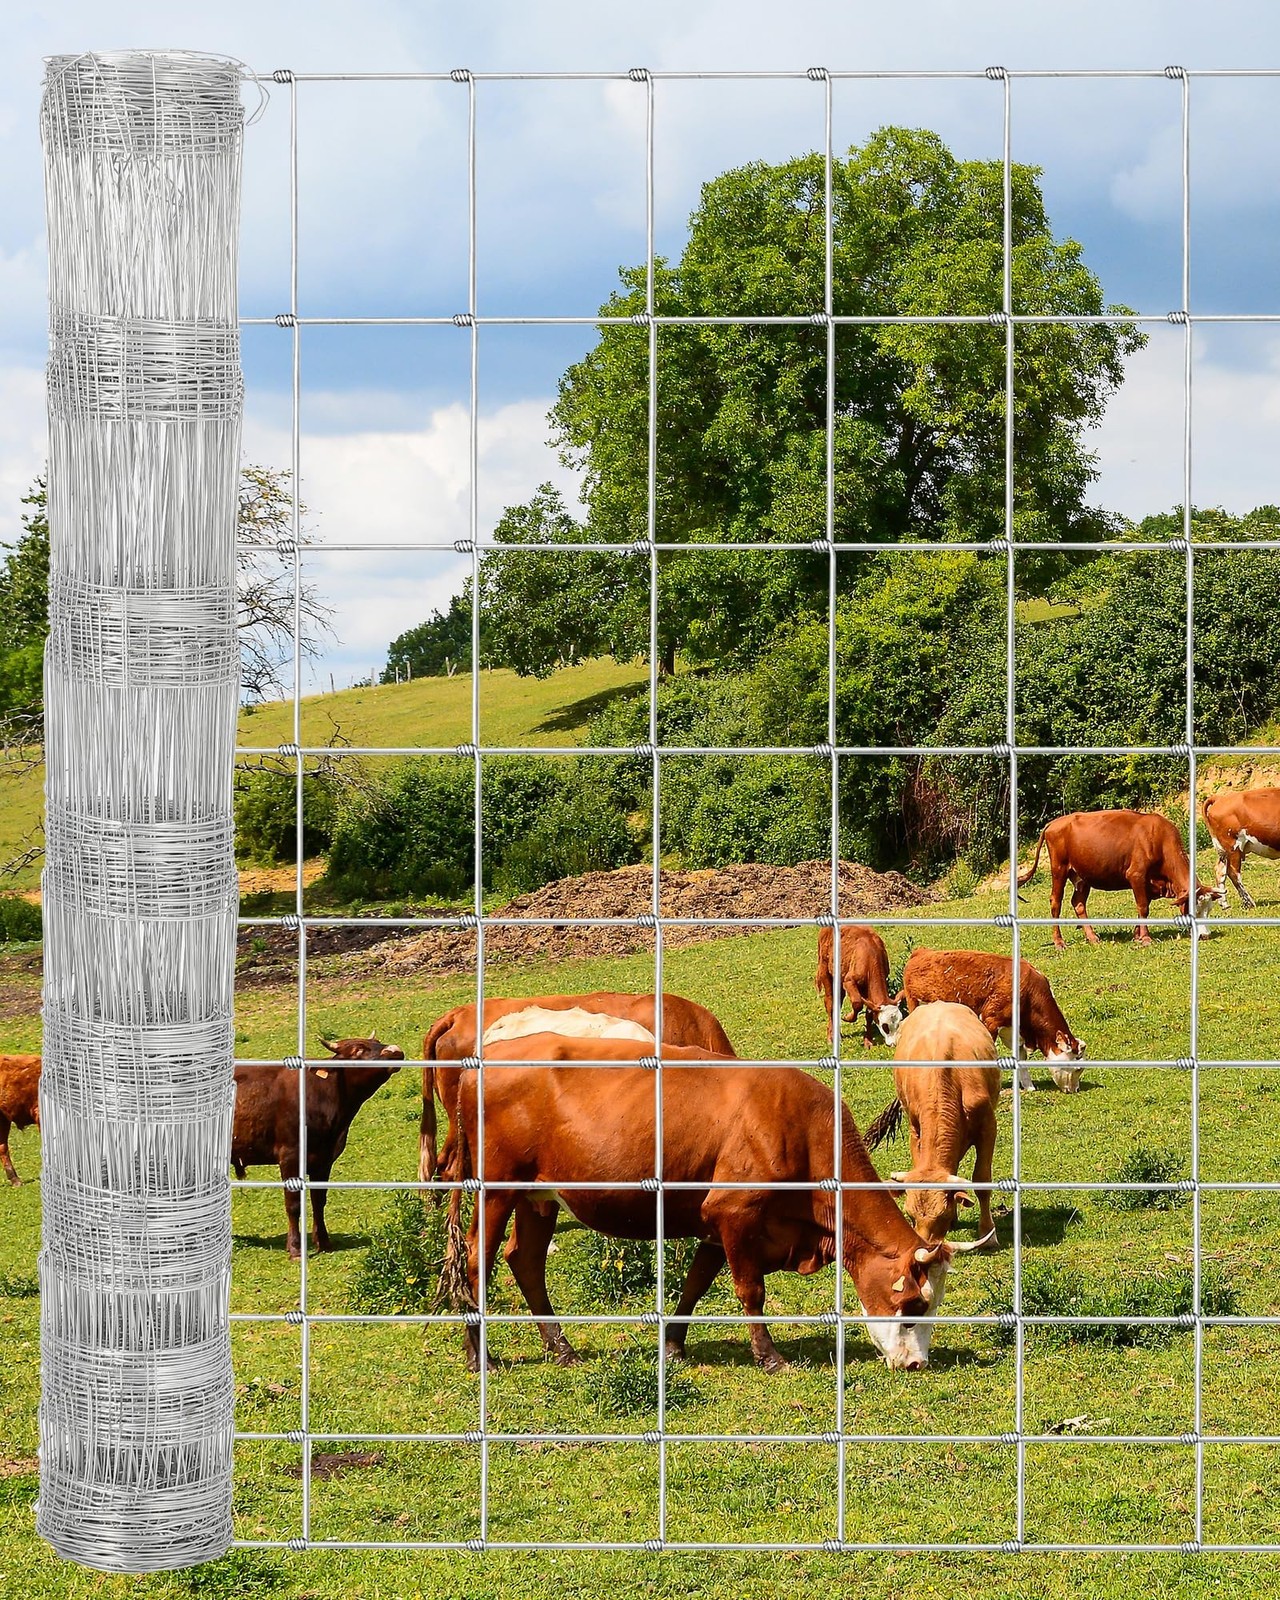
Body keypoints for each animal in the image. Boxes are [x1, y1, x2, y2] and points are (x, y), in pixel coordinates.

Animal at [232, 1035, 403, 1259]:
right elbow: (293, 1204)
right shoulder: (290, 1156)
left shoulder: (324, 1159)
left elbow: (318, 1200)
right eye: (358, 1050)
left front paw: (323, 1242)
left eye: (378, 1042)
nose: (395, 1050)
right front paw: (296, 1248)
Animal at [445, 1032, 989, 1375]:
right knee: (475, 1262)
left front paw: (672, 1346)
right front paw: (769, 1357)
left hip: (538, 1197)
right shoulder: (734, 1211)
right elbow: (751, 1291)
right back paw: (480, 1355)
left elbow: (695, 1283)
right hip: (496, 1189)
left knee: (525, 1261)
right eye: (913, 1306)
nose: (917, 1363)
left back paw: (561, 1348)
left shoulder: (716, 1222)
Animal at [865, 1002, 1002, 1247]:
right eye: (910, 1215)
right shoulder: (915, 1129)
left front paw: (988, 1233)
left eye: (942, 1216)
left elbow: (982, 1181)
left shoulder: (988, 1127)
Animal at [898, 947, 1085, 1093]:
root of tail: (921, 952)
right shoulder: (991, 1021)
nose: (1075, 1090)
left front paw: (1029, 1086)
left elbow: (1021, 1058)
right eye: (1077, 1068)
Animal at [1017, 809, 1224, 948]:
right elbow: (1143, 907)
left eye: (1209, 910)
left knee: (1078, 903)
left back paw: (1092, 938)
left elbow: (1142, 908)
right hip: (1059, 869)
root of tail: (1054, 823)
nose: (1205, 935)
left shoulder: (1147, 883)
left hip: (1082, 876)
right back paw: (1059, 942)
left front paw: (1137, 935)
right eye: (1194, 910)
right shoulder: (1136, 875)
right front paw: (1145, 938)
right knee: (1056, 902)